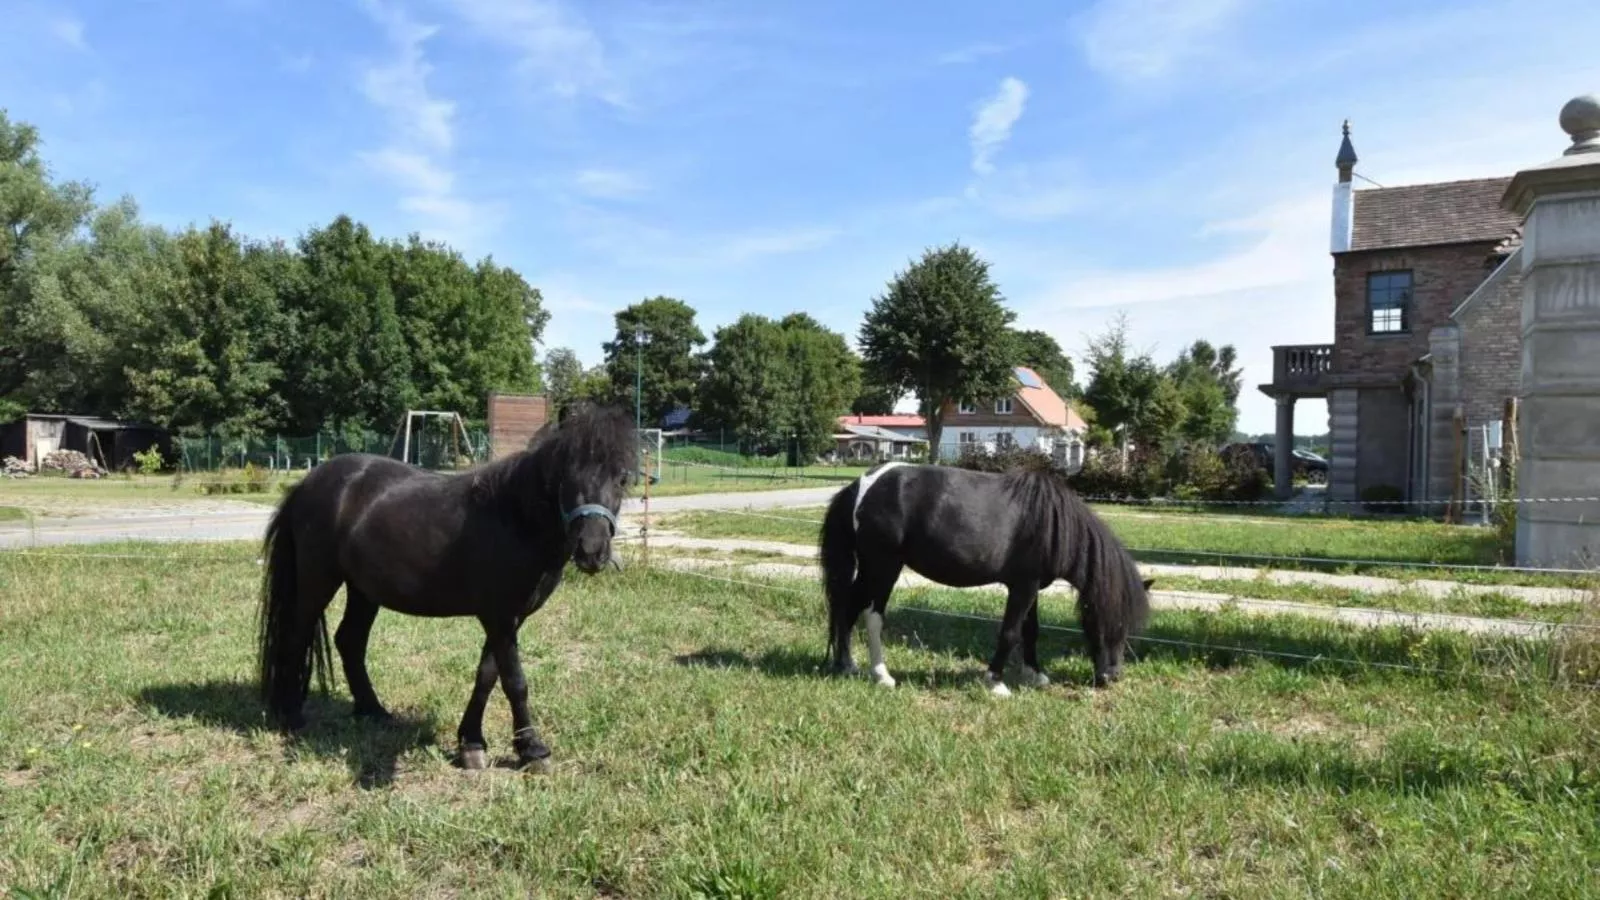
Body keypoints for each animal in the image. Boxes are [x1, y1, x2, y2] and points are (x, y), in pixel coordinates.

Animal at [256, 403, 636, 768]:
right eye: (566, 474)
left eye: (621, 478)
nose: (592, 551)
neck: (513, 517)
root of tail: (306, 484)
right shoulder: (498, 616)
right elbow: (515, 681)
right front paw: (532, 750)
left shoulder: (510, 618)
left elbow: (487, 675)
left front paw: (471, 743)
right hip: (317, 581)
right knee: (296, 637)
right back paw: (291, 716)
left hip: (364, 590)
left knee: (349, 641)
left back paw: (373, 711)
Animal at [825, 458, 1152, 688]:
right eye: (1112, 622)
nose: (1111, 677)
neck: (1050, 522)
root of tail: (861, 486)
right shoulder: (1022, 587)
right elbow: (1010, 632)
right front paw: (995, 682)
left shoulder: (1032, 588)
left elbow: (1031, 630)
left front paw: (1036, 674)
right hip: (883, 568)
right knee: (872, 616)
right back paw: (881, 675)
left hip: (871, 569)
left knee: (848, 609)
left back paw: (846, 665)